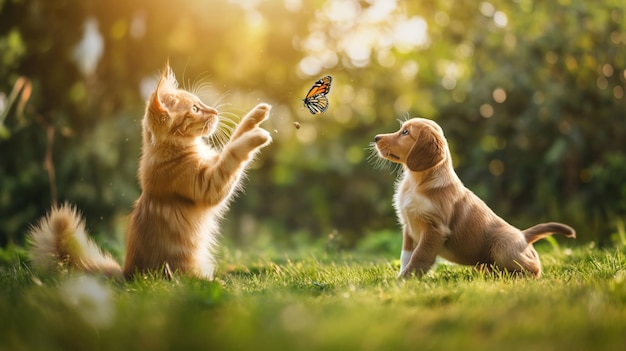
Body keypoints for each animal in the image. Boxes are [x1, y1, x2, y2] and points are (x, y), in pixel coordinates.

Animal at [28, 63, 270, 282]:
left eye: (201, 103)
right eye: (195, 109)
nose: (215, 112)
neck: (173, 150)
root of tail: (126, 274)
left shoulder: (212, 162)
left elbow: (236, 135)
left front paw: (256, 115)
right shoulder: (208, 183)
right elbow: (233, 152)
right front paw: (257, 137)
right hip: (178, 273)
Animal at [372, 119, 572, 280]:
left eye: (405, 132)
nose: (376, 137)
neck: (416, 183)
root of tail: (523, 235)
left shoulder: (435, 229)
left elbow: (418, 257)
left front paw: (402, 282)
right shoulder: (409, 226)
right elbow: (405, 256)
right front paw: (400, 277)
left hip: (502, 248)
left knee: (534, 267)